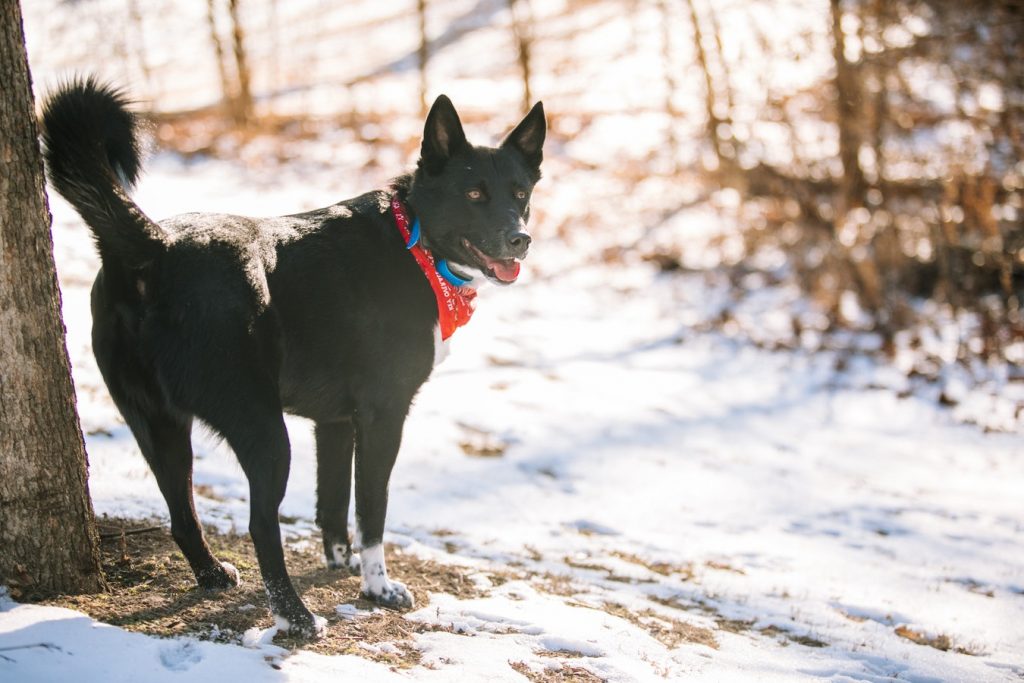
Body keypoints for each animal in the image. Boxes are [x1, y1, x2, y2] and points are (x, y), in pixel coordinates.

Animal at [39, 80, 544, 643]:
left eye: (520, 193)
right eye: (474, 194)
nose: (520, 238)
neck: (414, 241)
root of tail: (155, 246)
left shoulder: (336, 421)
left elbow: (333, 503)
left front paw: (341, 562)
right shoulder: (382, 415)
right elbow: (372, 508)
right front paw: (377, 586)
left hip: (159, 424)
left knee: (181, 512)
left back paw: (213, 575)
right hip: (262, 429)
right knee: (261, 524)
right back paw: (294, 616)